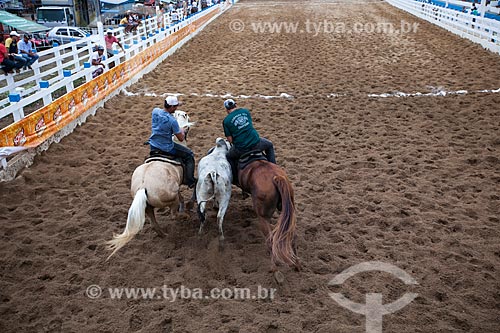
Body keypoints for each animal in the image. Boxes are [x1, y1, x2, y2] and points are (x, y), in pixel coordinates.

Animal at [106, 110, 194, 258]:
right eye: (185, 115)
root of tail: (143, 187)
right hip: (170, 199)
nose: (187, 114)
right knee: (173, 215)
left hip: (148, 207)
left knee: (154, 224)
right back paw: (185, 217)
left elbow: (182, 197)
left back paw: (164, 235)